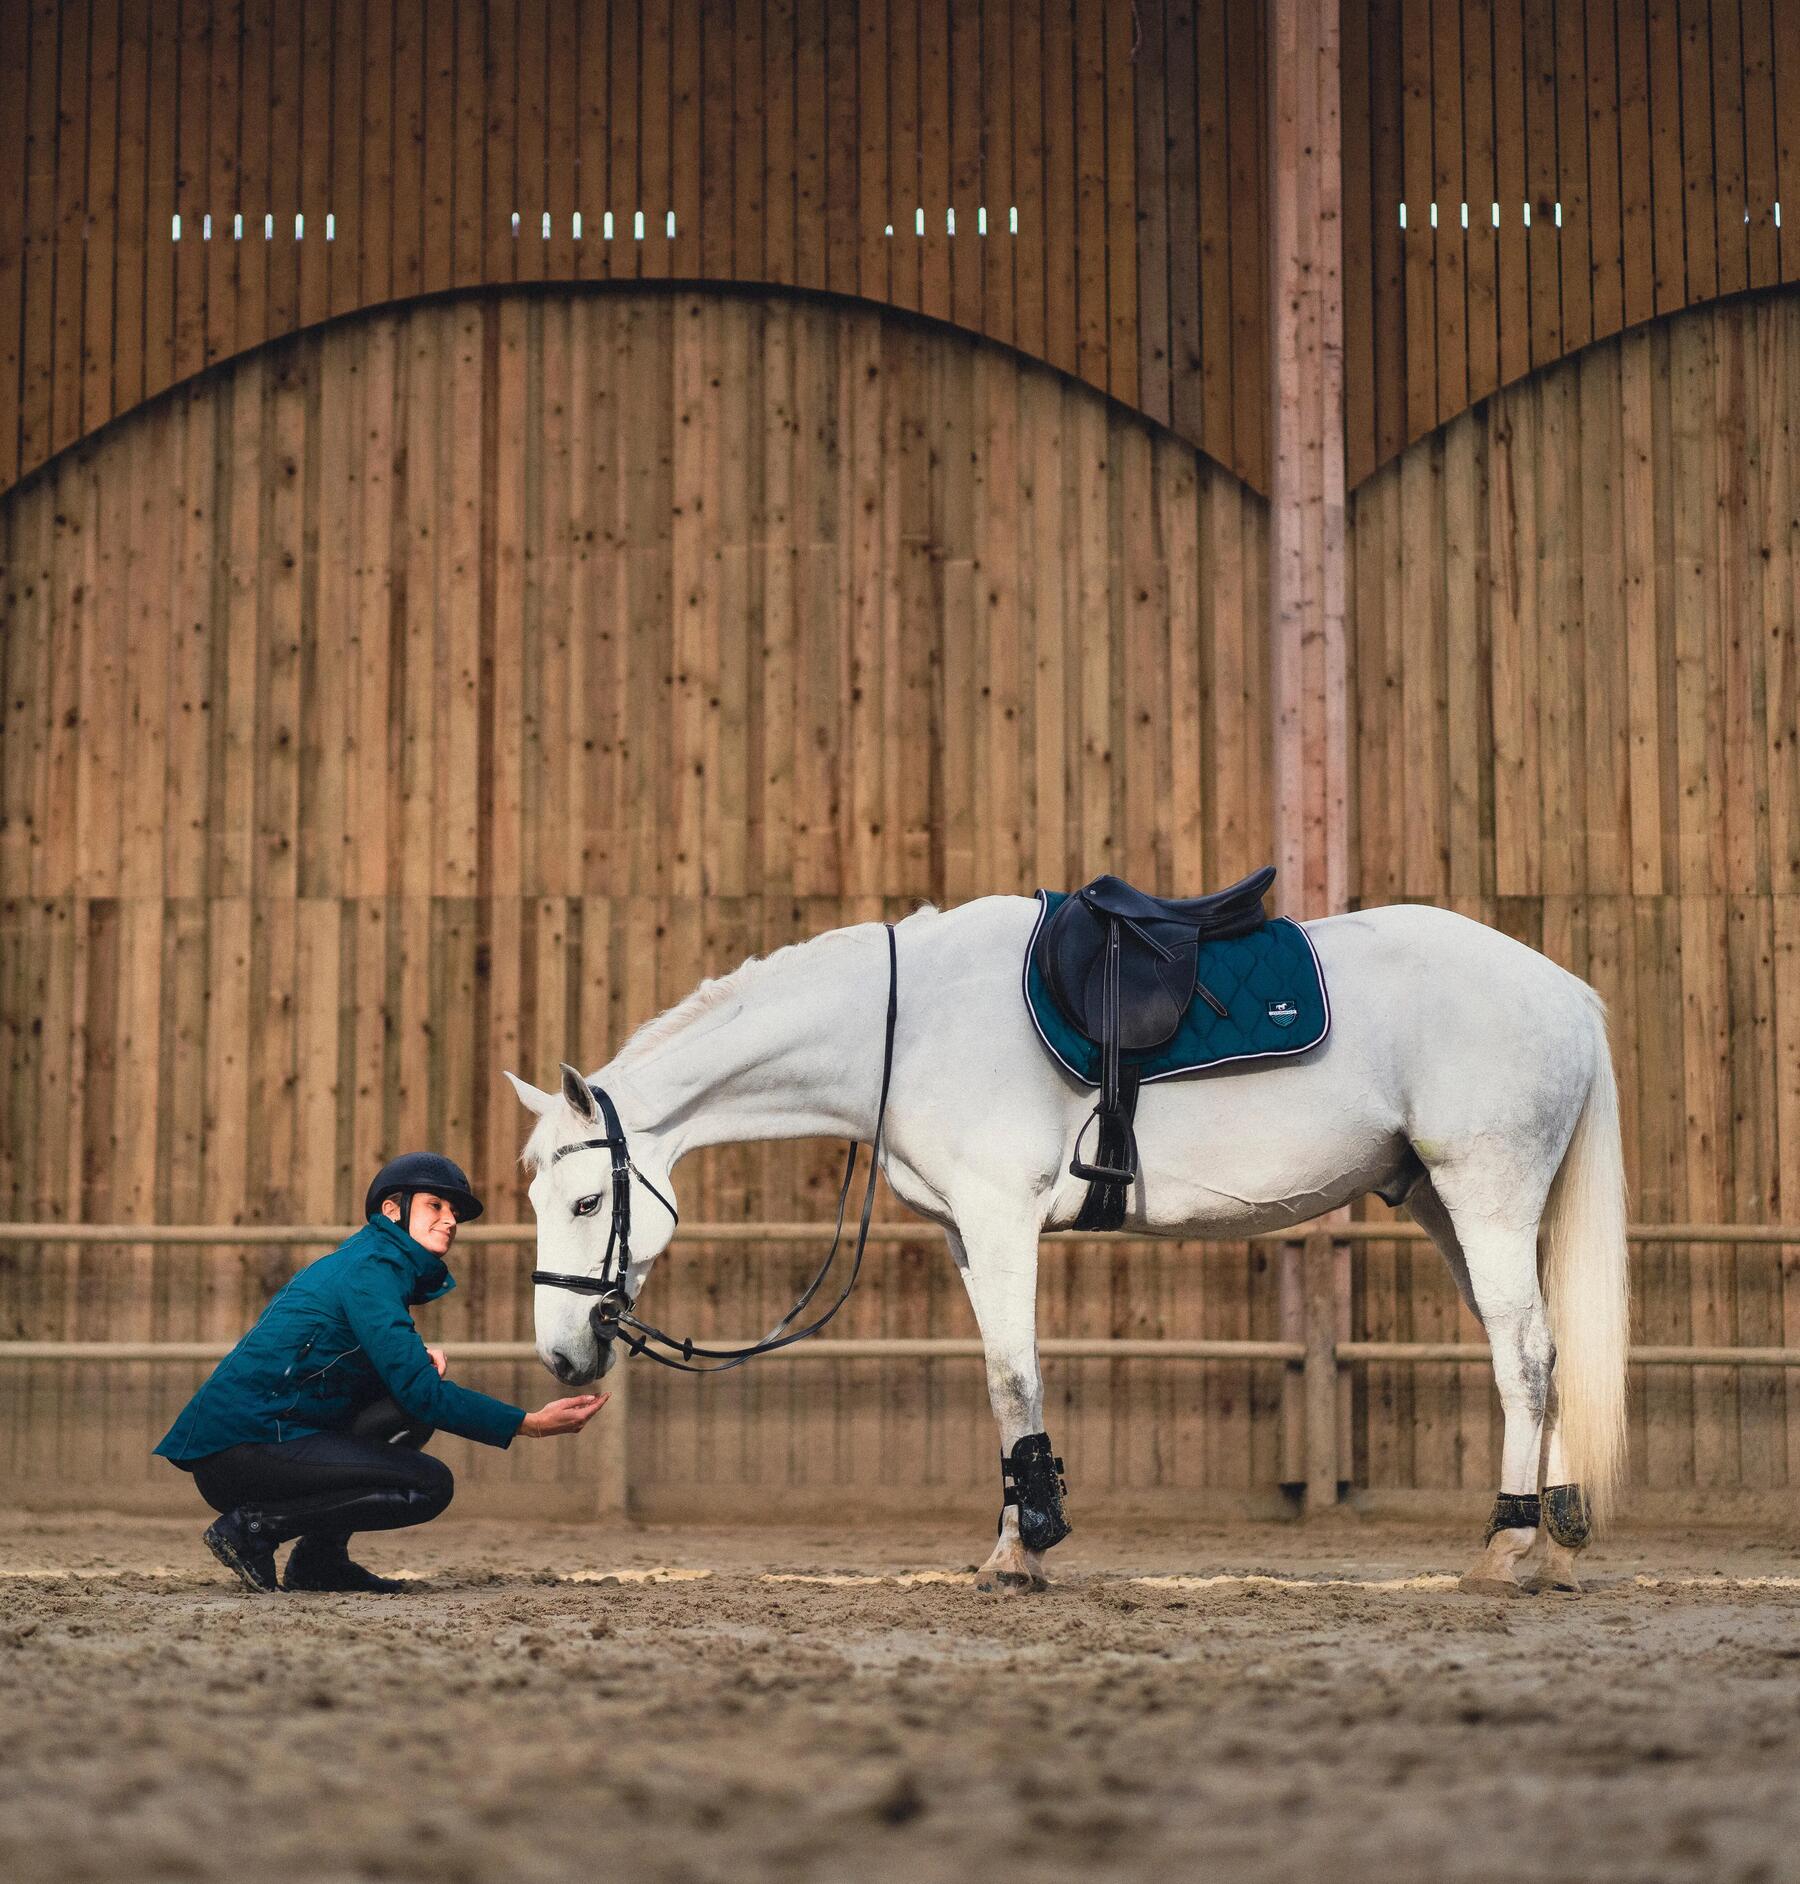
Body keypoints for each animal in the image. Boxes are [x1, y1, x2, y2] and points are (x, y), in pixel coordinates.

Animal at [508, 893, 1636, 1590]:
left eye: (582, 1203)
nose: (562, 1354)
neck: (908, 1027)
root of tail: (1564, 991)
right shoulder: (967, 1234)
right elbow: (1001, 1381)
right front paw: (1019, 1536)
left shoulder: (1002, 1216)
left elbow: (1016, 1378)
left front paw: (1025, 1549)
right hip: (1446, 1205)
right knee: (1538, 1353)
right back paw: (1553, 1549)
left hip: (1483, 1195)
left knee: (1526, 1356)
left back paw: (1507, 1549)